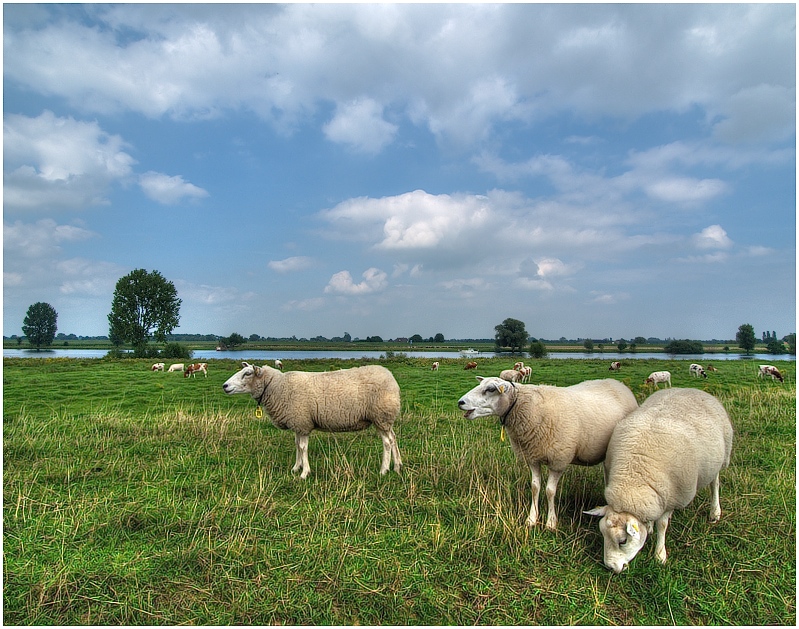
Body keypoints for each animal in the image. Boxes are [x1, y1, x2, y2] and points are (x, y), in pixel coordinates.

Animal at [222, 360, 404, 478]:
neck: (276, 386)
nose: (225, 386)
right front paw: (296, 468)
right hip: (385, 420)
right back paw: (397, 466)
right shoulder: (297, 423)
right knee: (393, 438)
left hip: (381, 416)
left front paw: (304, 473)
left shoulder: (302, 422)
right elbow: (297, 445)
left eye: (247, 374)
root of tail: (392, 378)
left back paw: (384, 470)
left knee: (387, 442)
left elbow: (303, 447)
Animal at [460, 378, 640, 528]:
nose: (460, 402)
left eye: (490, 389)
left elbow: (550, 491)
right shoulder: (532, 457)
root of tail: (618, 383)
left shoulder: (558, 460)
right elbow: (535, 487)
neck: (527, 408)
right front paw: (532, 519)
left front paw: (551, 523)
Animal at [584, 386, 736, 572]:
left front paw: (659, 555)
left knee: (715, 484)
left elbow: (662, 525)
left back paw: (715, 512)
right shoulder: (654, 496)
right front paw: (649, 528)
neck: (634, 479)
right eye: (602, 535)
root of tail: (691, 389)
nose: (610, 567)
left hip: (721, 458)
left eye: (623, 541)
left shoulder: (672, 496)